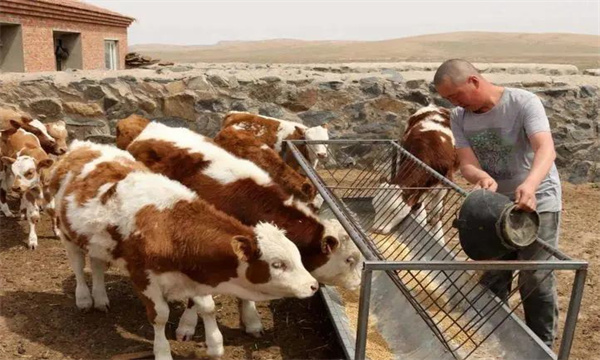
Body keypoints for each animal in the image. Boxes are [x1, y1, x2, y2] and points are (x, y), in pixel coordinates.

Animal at [47, 141, 318, 360]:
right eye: (277, 264)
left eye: (297, 255)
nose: (313, 286)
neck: (168, 226)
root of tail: (81, 146)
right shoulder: (143, 277)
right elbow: (160, 316)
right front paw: (162, 351)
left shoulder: (195, 273)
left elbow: (207, 306)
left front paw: (215, 346)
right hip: (67, 234)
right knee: (78, 266)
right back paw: (84, 298)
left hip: (96, 243)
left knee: (97, 265)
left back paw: (101, 297)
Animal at [372, 105, 458, 243]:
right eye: (374, 205)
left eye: (394, 210)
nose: (376, 229)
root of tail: (436, 107)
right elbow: (417, 206)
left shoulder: (446, 184)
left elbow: (437, 214)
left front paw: (439, 239)